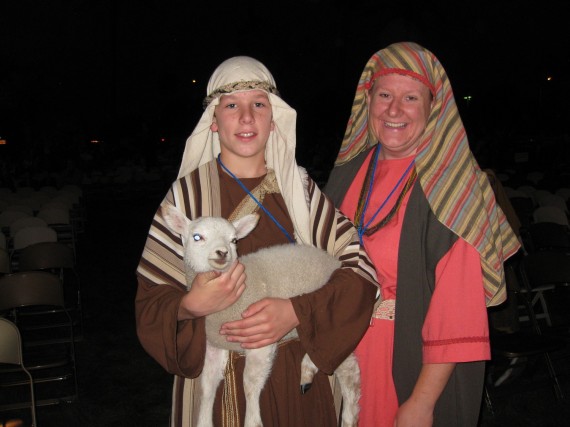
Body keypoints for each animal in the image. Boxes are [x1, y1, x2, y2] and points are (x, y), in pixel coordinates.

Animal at [160, 204, 360, 427]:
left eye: (234, 240)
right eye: (197, 237)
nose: (222, 252)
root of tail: (335, 262)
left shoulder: (260, 339)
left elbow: (249, 383)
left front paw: (252, 421)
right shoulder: (214, 345)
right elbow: (207, 386)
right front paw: (203, 421)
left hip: (331, 317)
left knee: (345, 365)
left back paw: (346, 414)